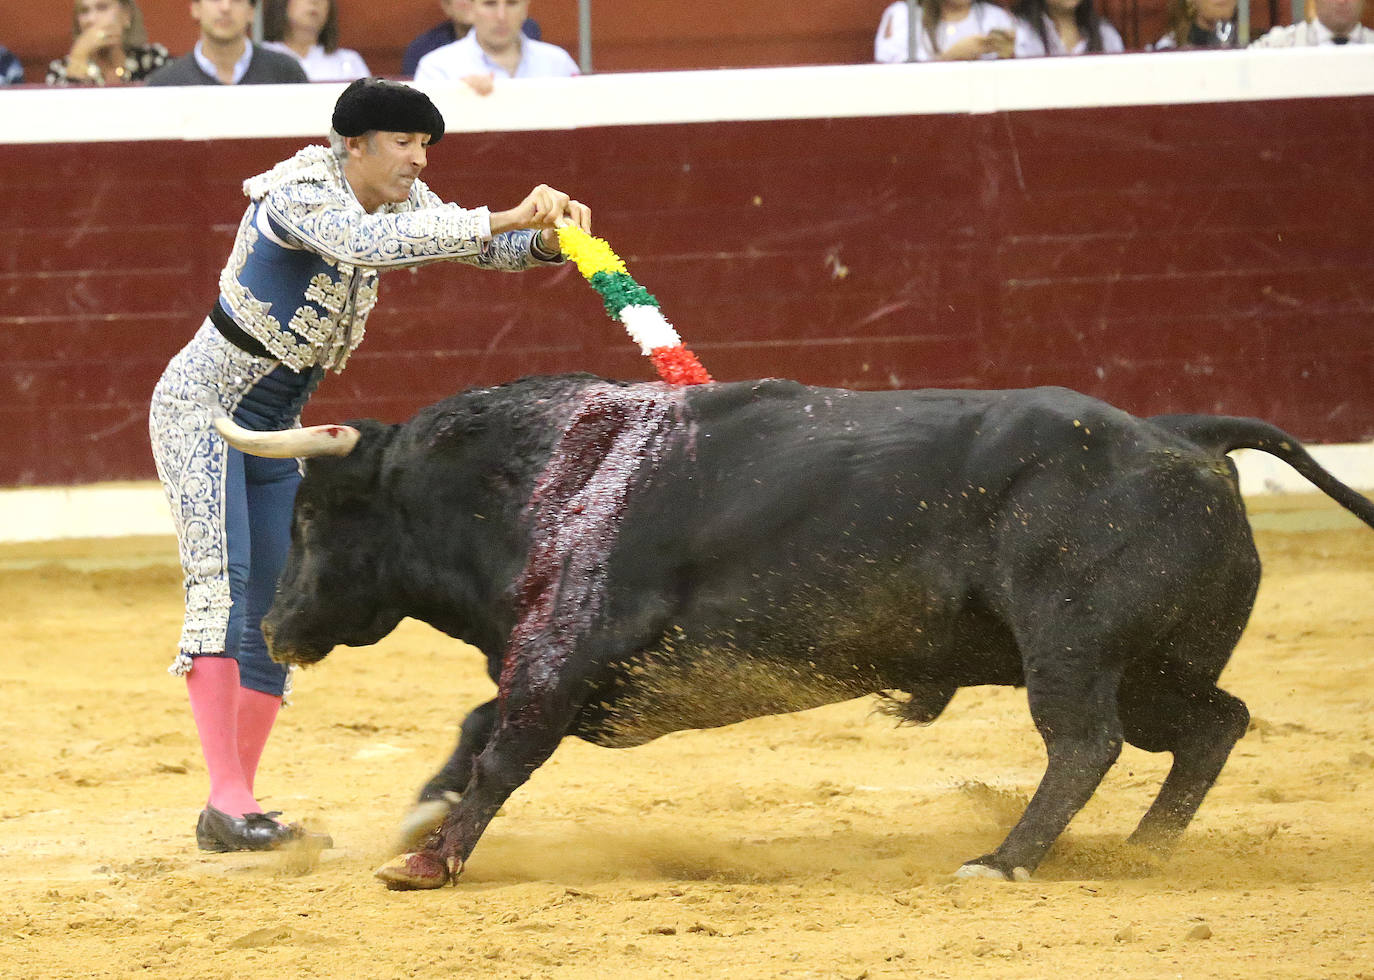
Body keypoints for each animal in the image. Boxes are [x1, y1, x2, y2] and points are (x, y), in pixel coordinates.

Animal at [228, 373, 1374, 885]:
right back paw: (1146, 849)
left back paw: (1005, 859)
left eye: (314, 515)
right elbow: (476, 731)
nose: (275, 629)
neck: (539, 475)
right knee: (1212, 724)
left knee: (1085, 741)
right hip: (1158, 663)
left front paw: (428, 859)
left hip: (1076, 649)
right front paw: (420, 819)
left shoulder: (565, 654)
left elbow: (505, 748)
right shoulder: (569, 668)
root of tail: (1182, 434)